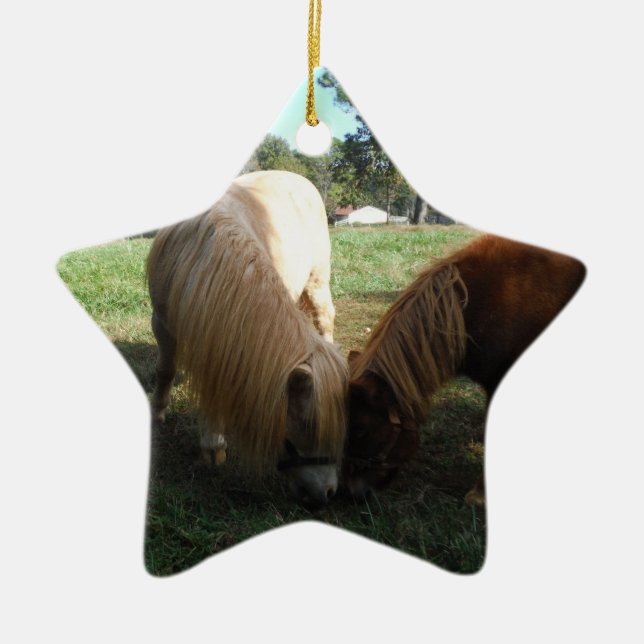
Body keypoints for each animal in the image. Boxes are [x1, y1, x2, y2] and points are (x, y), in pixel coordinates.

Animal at [146, 170, 348, 508]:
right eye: (307, 427)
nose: (326, 494)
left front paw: (212, 443)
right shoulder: (163, 323)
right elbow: (166, 369)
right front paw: (159, 411)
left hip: (318, 281)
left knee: (324, 319)